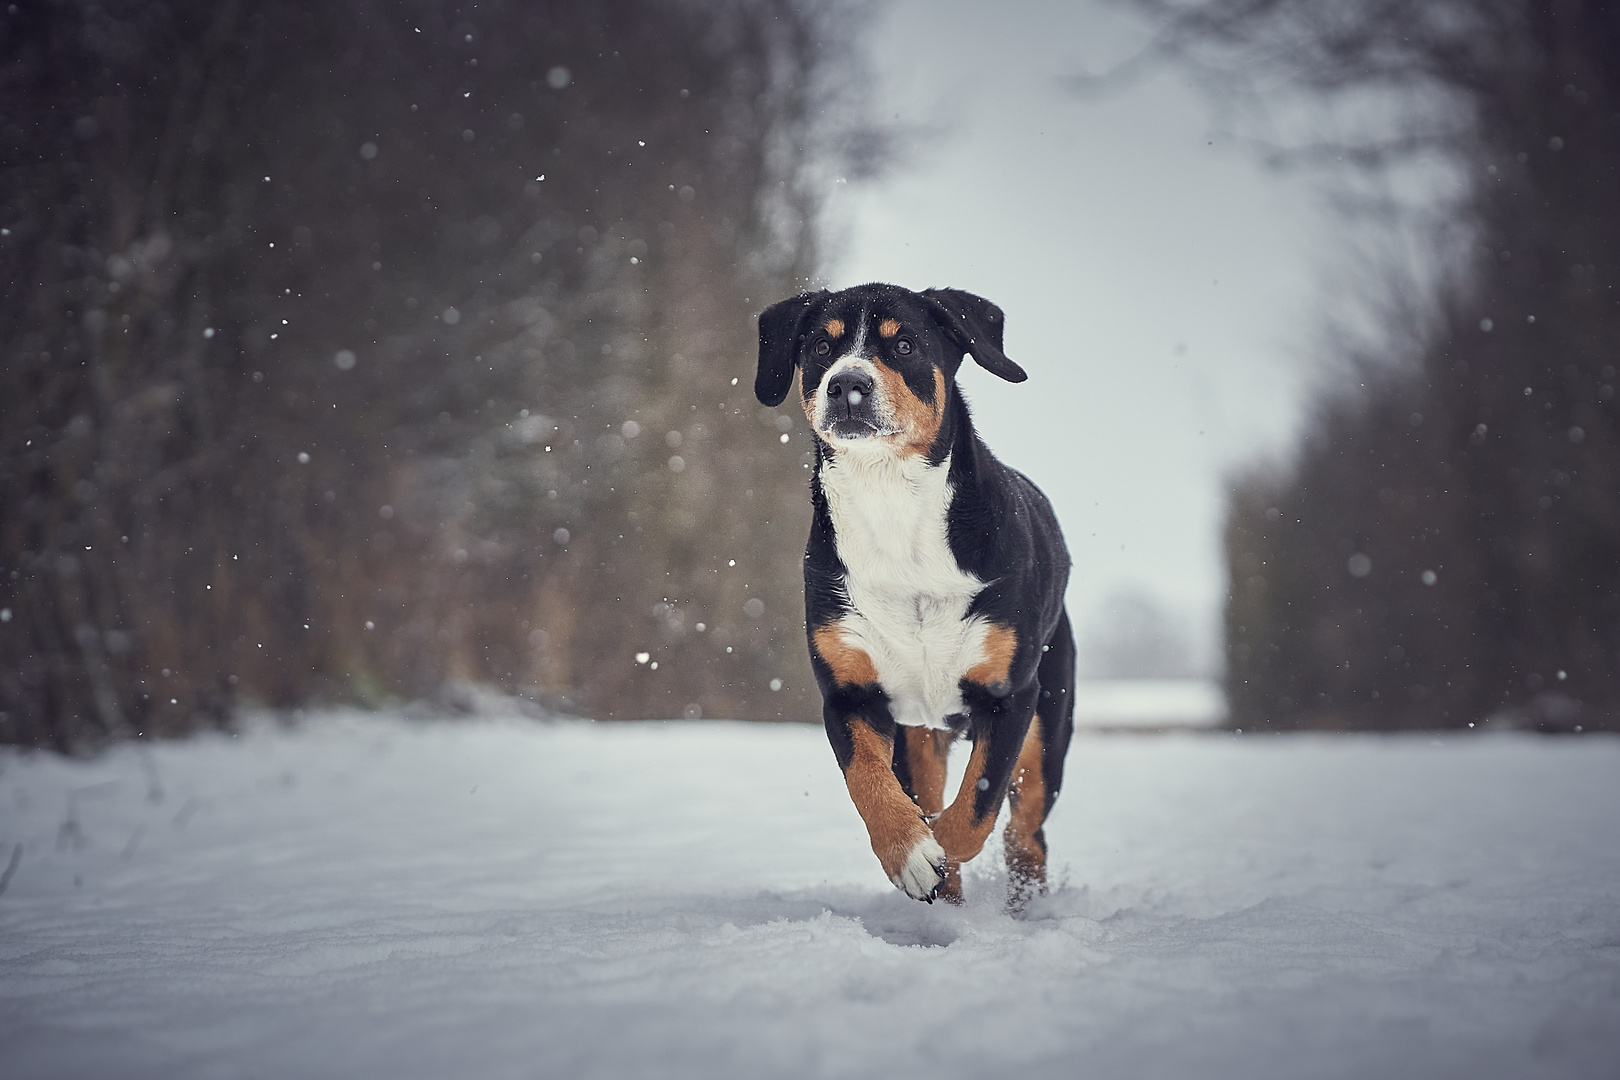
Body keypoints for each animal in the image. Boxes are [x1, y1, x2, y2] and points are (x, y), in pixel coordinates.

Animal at [758, 281, 1075, 906]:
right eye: (820, 346)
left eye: (903, 344)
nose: (847, 384)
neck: (891, 504)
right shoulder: (849, 693)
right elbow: (868, 781)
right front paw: (908, 854)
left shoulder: (1010, 695)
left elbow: (975, 804)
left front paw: (937, 854)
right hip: (920, 734)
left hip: (1047, 728)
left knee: (1025, 834)